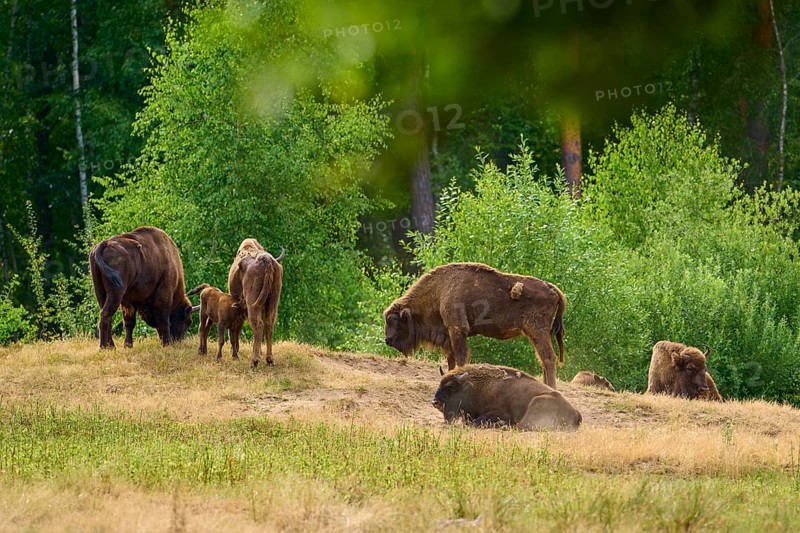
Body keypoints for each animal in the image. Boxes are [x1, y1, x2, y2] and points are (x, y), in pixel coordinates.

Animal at [227, 239, 284, 368]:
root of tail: (266, 260)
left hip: (252, 304)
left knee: (258, 325)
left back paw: (254, 361)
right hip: (273, 303)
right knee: (269, 325)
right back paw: (269, 359)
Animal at [384, 262, 567, 389]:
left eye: (393, 320)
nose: (388, 340)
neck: (440, 290)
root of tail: (552, 289)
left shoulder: (457, 330)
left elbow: (460, 358)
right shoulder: (450, 334)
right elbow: (451, 360)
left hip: (537, 331)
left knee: (548, 358)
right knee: (543, 360)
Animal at [432, 364, 582, 431]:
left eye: (451, 386)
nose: (435, 402)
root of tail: (576, 413)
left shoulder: (498, 412)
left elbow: (476, 422)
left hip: (537, 401)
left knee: (521, 426)